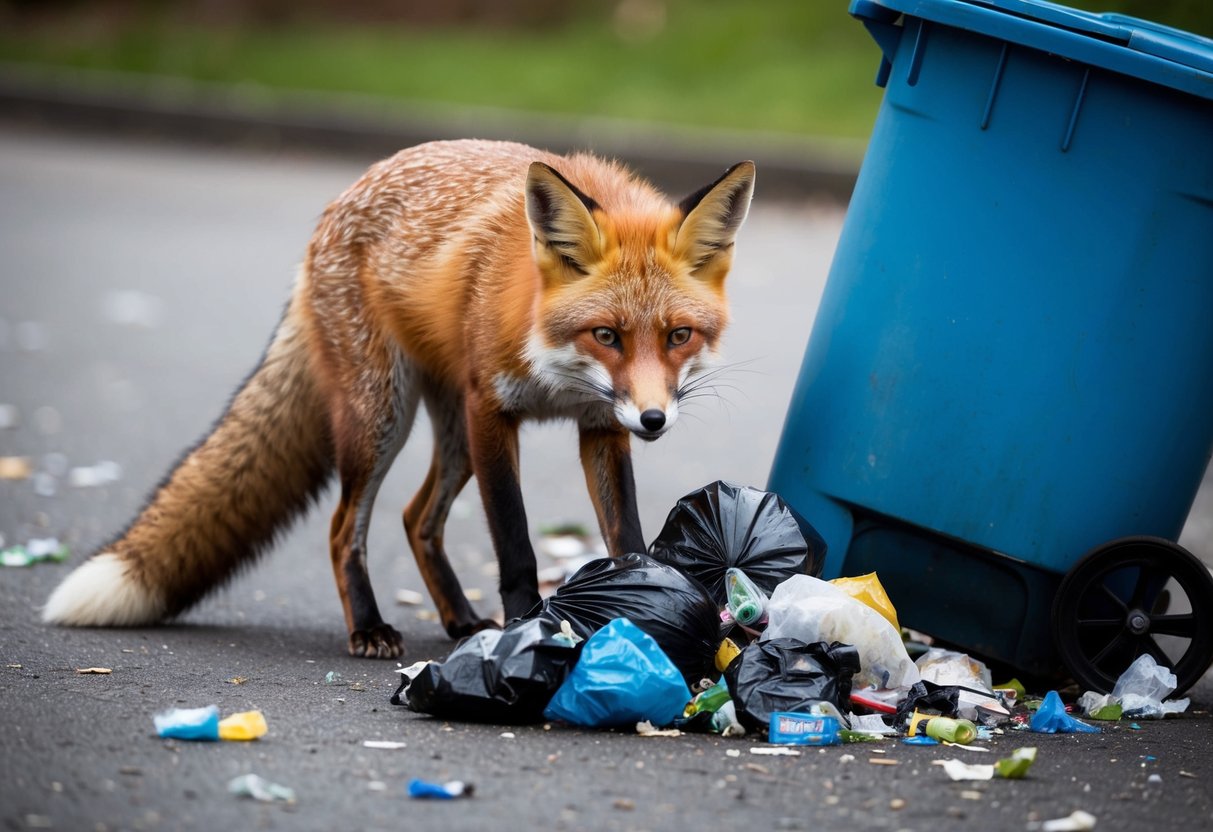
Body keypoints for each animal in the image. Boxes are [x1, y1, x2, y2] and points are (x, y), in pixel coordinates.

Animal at [42, 139, 755, 658]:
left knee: (417, 518)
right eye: (606, 335)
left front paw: (641, 599)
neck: (556, 370)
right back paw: (369, 627)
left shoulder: (600, 425)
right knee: (343, 529)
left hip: (451, 436)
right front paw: (526, 627)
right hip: (383, 419)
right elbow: (516, 546)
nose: (654, 420)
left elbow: (624, 532)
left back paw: (460, 618)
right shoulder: (493, 412)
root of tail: (340, 200)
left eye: (679, 335)